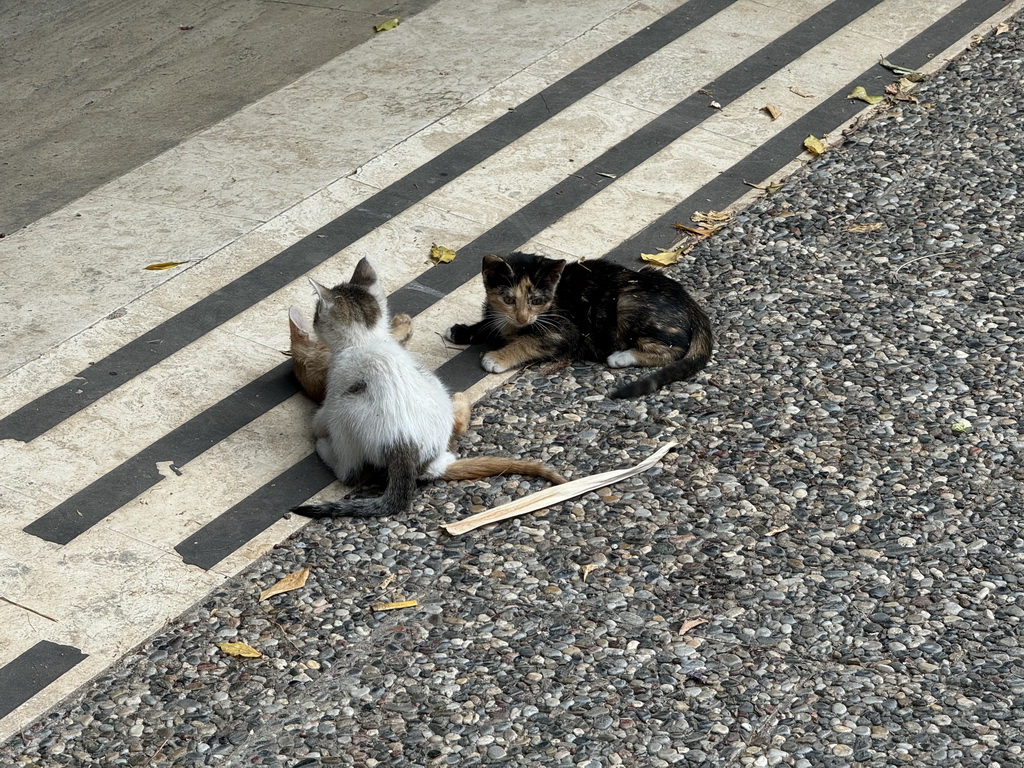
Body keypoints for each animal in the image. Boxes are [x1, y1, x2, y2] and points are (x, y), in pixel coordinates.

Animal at [292, 259, 565, 524]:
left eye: (316, 314)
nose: (313, 322)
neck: (366, 341)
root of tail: (413, 453)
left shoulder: (334, 391)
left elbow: (318, 421)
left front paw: (317, 429)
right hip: (434, 385)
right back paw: (460, 402)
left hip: (345, 416)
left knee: (349, 472)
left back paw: (325, 449)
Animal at [448, 252, 712, 399]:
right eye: (509, 299)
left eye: (536, 301)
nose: (523, 318)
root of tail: (691, 303)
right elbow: (489, 325)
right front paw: (464, 331)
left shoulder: (565, 332)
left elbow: (528, 342)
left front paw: (497, 357)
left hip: (626, 303)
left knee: (674, 349)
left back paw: (622, 356)